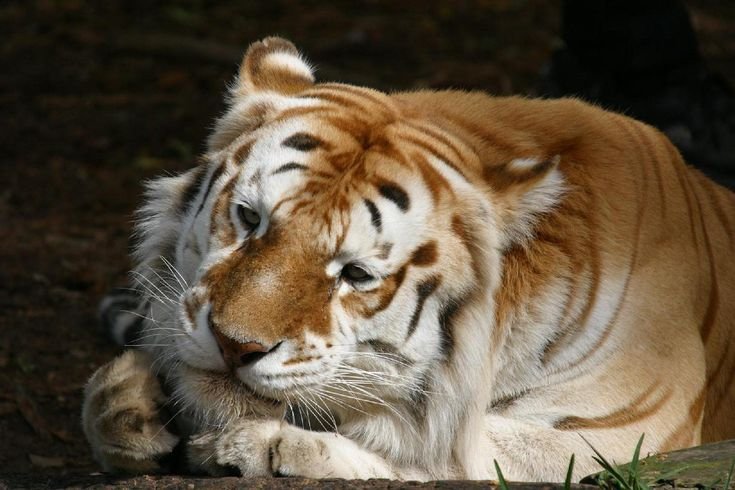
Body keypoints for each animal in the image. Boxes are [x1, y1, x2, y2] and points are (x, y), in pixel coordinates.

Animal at [82, 37, 735, 482]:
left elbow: (447, 447)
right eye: (249, 218)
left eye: (356, 274)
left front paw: (266, 444)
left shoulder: (623, 433)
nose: (232, 344)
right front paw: (126, 399)